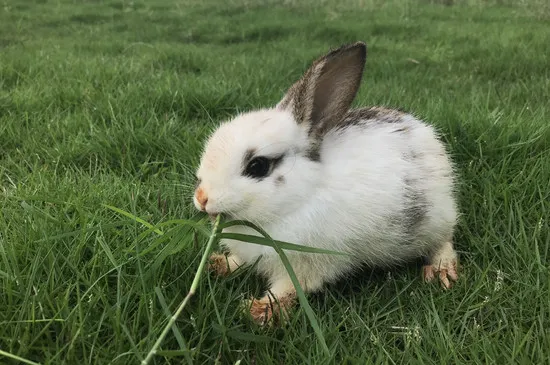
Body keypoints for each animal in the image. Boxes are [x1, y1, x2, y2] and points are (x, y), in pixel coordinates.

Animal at [194, 41, 462, 322]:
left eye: (258, 166)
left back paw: (441, 271)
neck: (297, 201)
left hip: (436, 221)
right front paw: (218, 265)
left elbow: (288, 288)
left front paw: (259, 311)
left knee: (444, 242)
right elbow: (239, 262)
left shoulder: (306, 265)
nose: (202, 198)